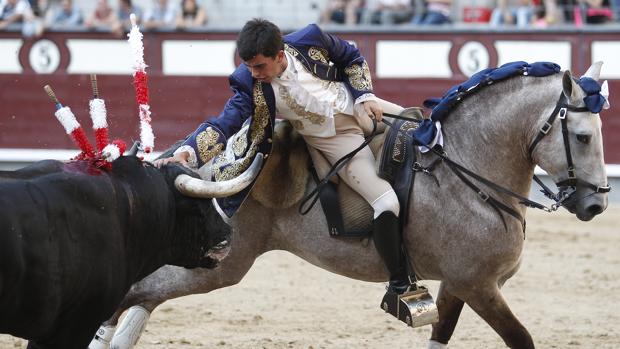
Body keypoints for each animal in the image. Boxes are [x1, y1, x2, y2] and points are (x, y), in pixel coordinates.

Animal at [89, 63, 608, 348]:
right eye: (583, 136)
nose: (596, 206)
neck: (466, 166)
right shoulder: (478, 285)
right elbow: (521, 339)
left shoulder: (457, 285)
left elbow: (440, 335)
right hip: (216, 265)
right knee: (134, 293)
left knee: (142, 301)